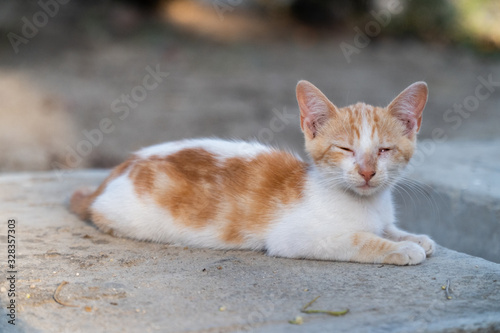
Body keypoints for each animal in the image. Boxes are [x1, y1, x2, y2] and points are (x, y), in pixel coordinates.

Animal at [70, 80, 434, 264]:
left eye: (384, 150)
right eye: (345, 149)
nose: (367, 172)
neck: (366, 204)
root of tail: (114, 173)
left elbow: (387, 228)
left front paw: (412, 237)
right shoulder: (296, 238)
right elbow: (359, 239)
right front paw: (401, 249)